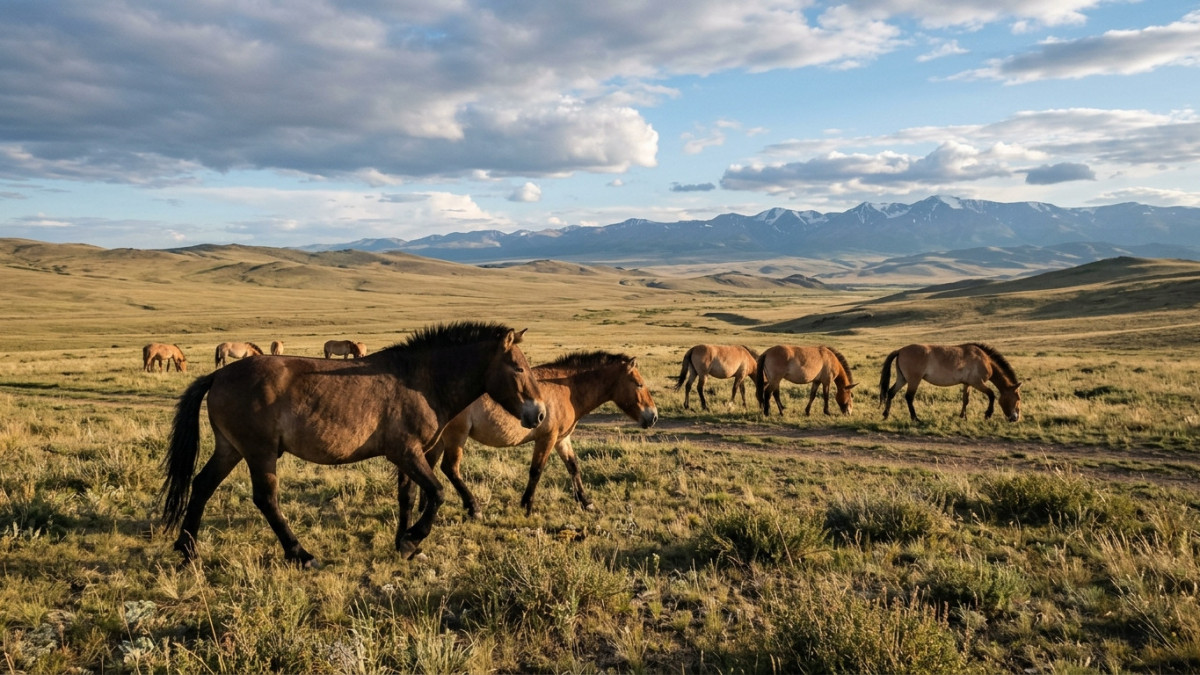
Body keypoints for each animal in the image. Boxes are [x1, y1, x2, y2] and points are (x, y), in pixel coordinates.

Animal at [160, 322, 546, 567]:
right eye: (517, 368)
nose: (540, 413)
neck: (421, 381)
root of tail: (218, 375)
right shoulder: (407, 452)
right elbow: (436, 493)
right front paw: (413, 539)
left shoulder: (408, 456)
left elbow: (407, 497)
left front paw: (403, 544)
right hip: (259, 453)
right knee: (265, 499)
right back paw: (301, 554)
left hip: (230, 448)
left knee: (202, 485)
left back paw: (188, 549)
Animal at [413, 351, 658, 521]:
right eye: (639, 384)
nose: (654, 417)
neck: (567, 389)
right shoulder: (546, 439)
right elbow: (536, 471)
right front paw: (527, 506)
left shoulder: (561, 439)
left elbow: (573, 467)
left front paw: (585, 502)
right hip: (457, 436)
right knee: (450, 469)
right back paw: (474, 509)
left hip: (441, 439)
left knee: (430, 464)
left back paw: (425, 507)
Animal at [880, 343, 1022, 423]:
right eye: (1017, 398)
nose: (1015, 418)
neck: (984, 359)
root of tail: (900, 350)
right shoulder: (977, 383)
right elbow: (992, 394)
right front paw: (988, 414)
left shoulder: (967, 383)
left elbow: (965, 400)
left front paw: (963, 416)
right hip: (914, 380)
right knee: (909, 397)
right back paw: (915, 418)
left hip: (902, 379)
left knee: (891, 393)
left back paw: (886, 415)